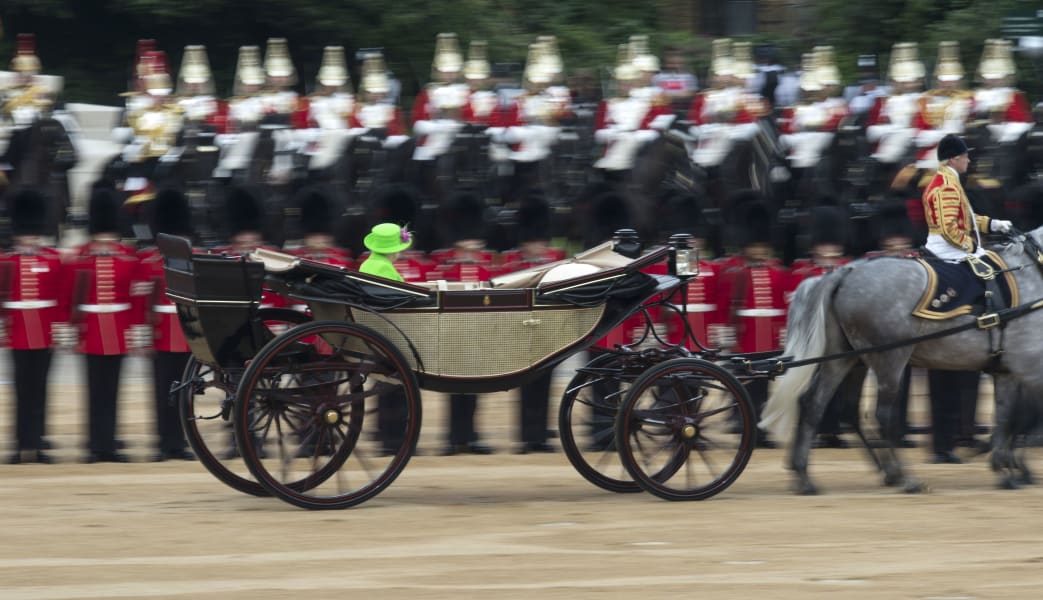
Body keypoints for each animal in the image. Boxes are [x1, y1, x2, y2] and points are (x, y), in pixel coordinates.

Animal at [759, 227, 1043, 494]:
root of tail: (845, 272)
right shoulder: (1028, 366)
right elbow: (1024, 417)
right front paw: (1014, 467)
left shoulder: (1008, 371)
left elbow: (1008, 416)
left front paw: (1006, 468)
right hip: (890, 359)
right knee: (881, 414)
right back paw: (904, 478)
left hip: (844, 359)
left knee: (816, 404)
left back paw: (806, 477)